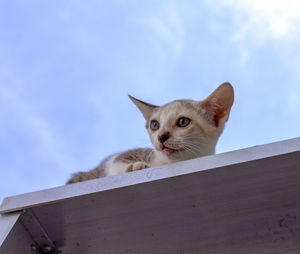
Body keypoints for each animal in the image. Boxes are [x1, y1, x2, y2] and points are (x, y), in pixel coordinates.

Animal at [67, 82, 234, 184]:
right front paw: (135, 167)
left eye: (183, 122)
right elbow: (117, 163)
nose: (161, 136)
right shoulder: (121, 157)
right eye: (154, 125)